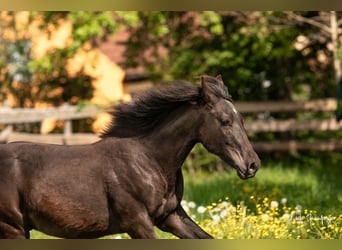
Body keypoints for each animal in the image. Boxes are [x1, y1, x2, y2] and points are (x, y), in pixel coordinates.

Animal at [0, 74, 260, 238]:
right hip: (13, 227)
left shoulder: (171, 216)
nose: (252, 165)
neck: (148, 160)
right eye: (225, 121)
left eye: (241, 119)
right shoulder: (137, 222)